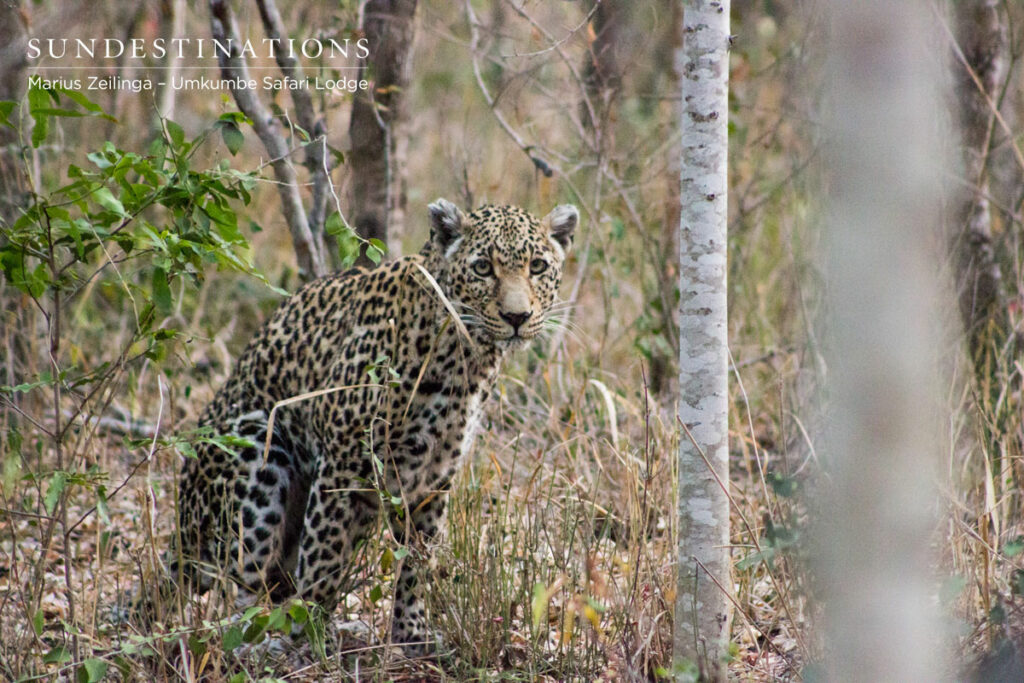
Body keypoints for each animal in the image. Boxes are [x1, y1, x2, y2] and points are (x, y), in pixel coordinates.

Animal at [172, 198, 578, 653]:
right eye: (483, 268)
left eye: (538, 266)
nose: (516, 317)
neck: (465, 361)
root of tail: (179, 531)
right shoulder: (341, 465)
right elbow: (324, 554)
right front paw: (311, 635)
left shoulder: (432, 476)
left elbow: (417, 562)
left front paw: (411, 634)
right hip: (256, 451)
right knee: (233, 594)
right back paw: (255, 635)